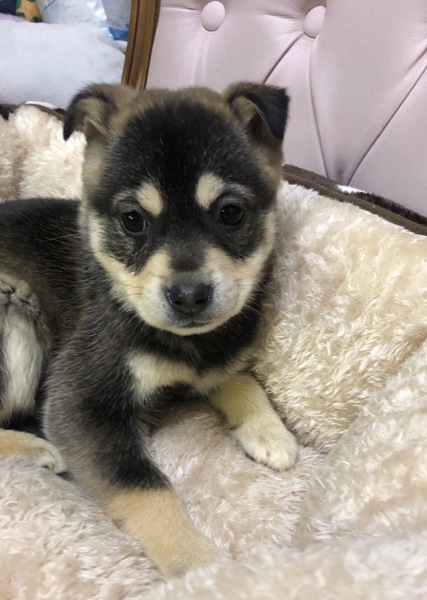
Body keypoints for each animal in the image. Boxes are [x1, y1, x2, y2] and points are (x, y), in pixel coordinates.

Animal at [0, 82, 298, 576]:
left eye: (231, 213)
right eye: (133, 220)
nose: (190, 296)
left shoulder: (214, 364)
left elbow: (241, 379)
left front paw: (269, 432)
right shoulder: (80, 403)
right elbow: (146, 489)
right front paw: (200, 565)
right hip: (14, 314)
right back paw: (32, 448)